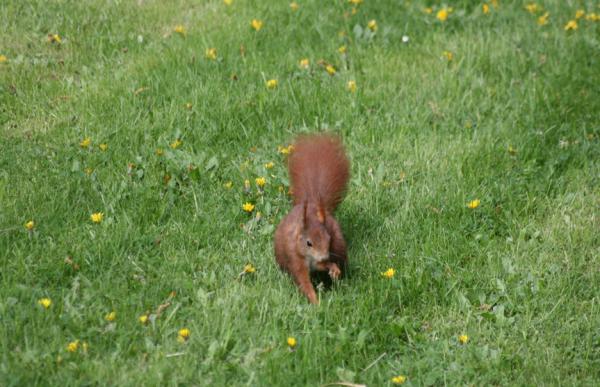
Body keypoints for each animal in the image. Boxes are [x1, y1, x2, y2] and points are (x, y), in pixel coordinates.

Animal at [274, 135, 350, 304]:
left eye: (328, 238)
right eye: (308, 243)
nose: (324, 256)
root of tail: (313, 202)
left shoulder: (319, 259)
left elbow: (323, 265)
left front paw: (333, 268)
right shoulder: (296, 260)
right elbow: (303, 282)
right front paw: (316, 302)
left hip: (339, 243)